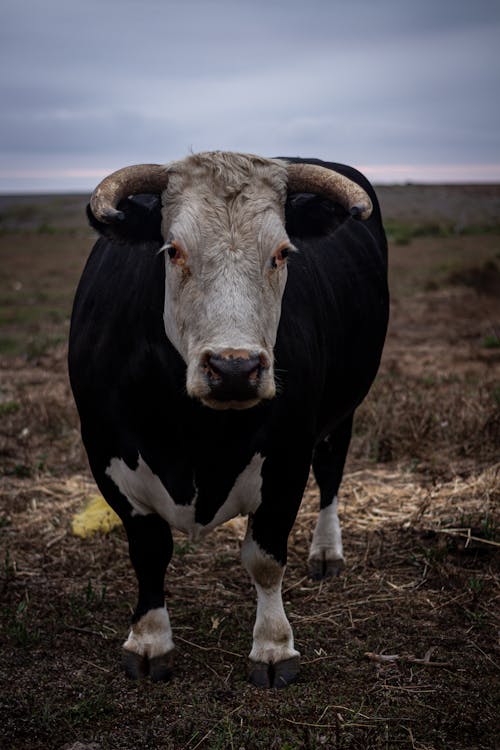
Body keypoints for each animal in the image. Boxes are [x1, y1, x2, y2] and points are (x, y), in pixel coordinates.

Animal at [68, 151, 388, 688]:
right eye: (173, 250)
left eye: (282, 252)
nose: (235, 369)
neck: (196, 437)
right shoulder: (108, 456)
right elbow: (148, 551)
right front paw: (150, 640)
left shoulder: (287, 459)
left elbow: (264, 557)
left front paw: (274, 646)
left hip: (343, 410)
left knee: (331, 475)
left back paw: (326, 552)